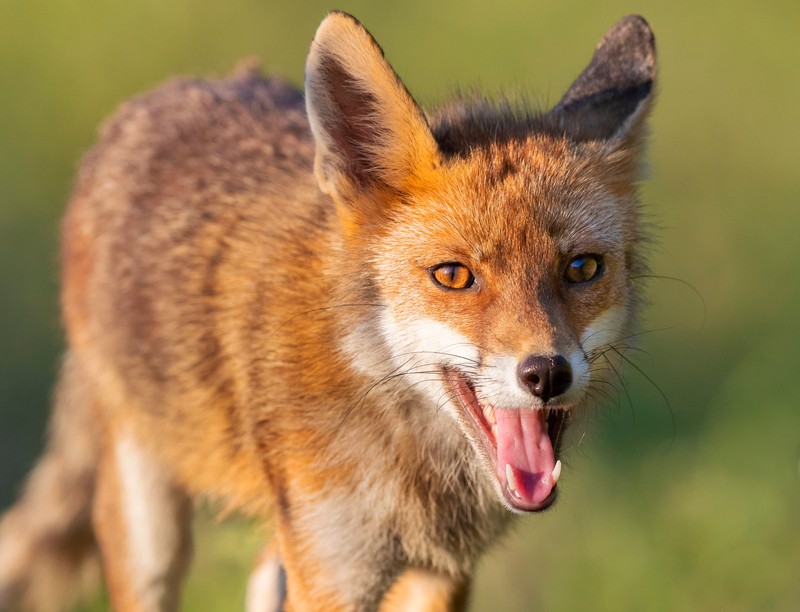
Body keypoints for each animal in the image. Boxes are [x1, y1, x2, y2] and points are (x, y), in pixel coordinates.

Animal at [0, 10, 656, 612]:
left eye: (582, 269)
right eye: (453, 276)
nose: (546, 374)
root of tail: (177, 89)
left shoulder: (439, 569)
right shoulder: (333, 573)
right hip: (150, 531)